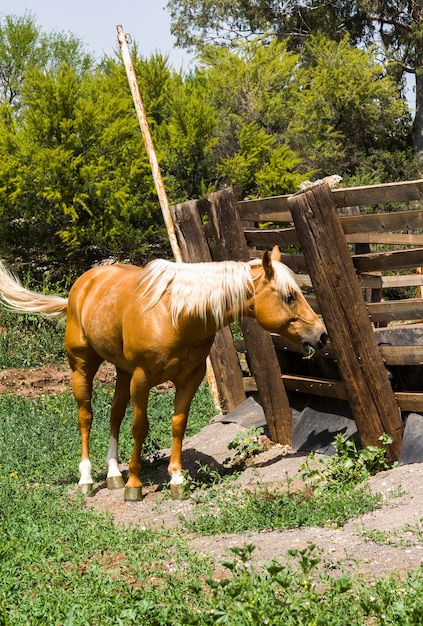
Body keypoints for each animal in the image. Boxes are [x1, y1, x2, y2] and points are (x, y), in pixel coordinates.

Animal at [0, 246, 328, 500]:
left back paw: (113, 474)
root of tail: (82, 287)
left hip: (122, 372)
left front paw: (177, 479)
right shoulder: (142, 379)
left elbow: (177, 426)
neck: (176, 315)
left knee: (114, 415)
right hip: (82, 367)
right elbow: (140, 428)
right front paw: (134, 485)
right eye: (289, 296)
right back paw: (87, 480)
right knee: (86, 417)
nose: (321, 334)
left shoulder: (189, 380)